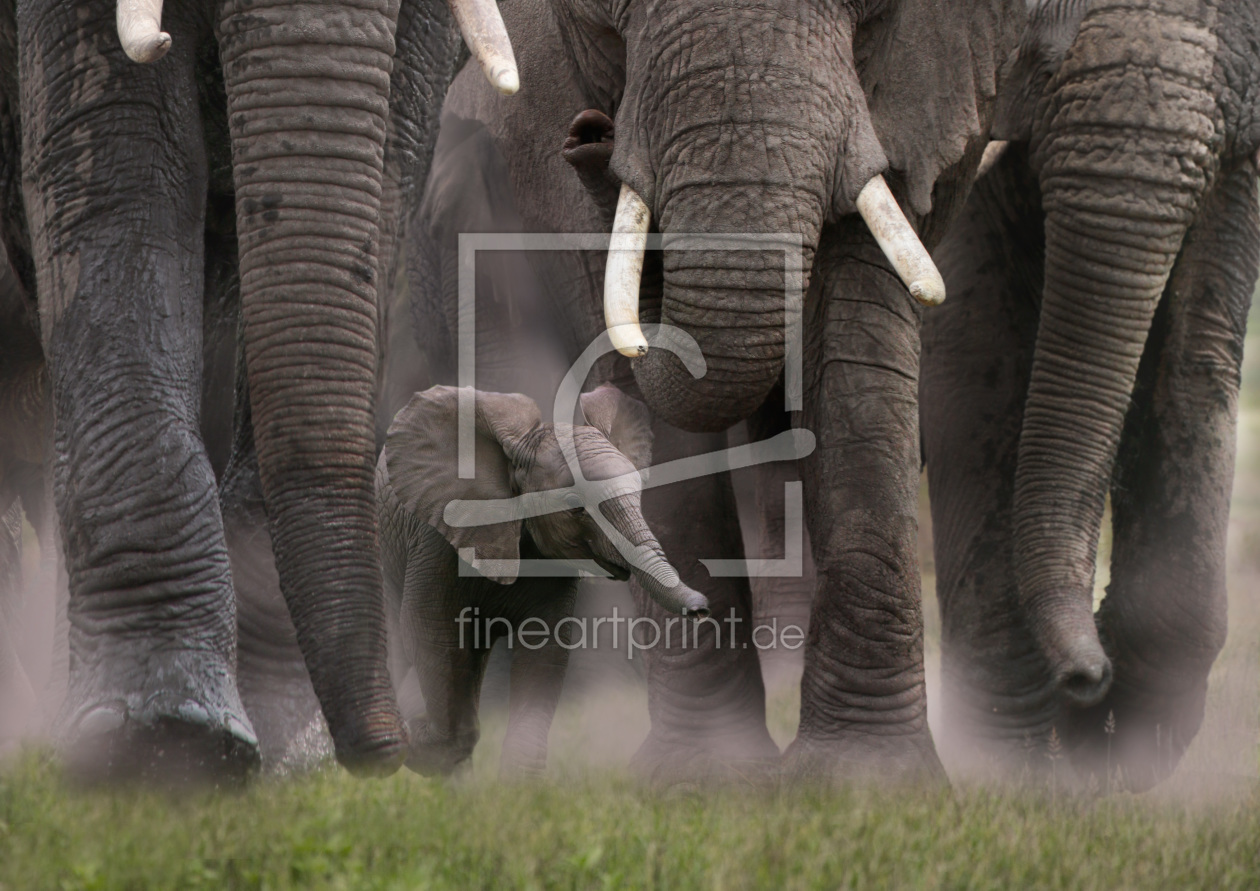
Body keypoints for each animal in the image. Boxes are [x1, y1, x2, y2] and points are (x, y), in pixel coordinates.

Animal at [372, 385, 710, 776]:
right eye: (576, 506)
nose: (702, 609)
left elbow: (544, 652)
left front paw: (516, 786)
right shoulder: (436, 542)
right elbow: (433, 637)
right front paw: (419, 742)